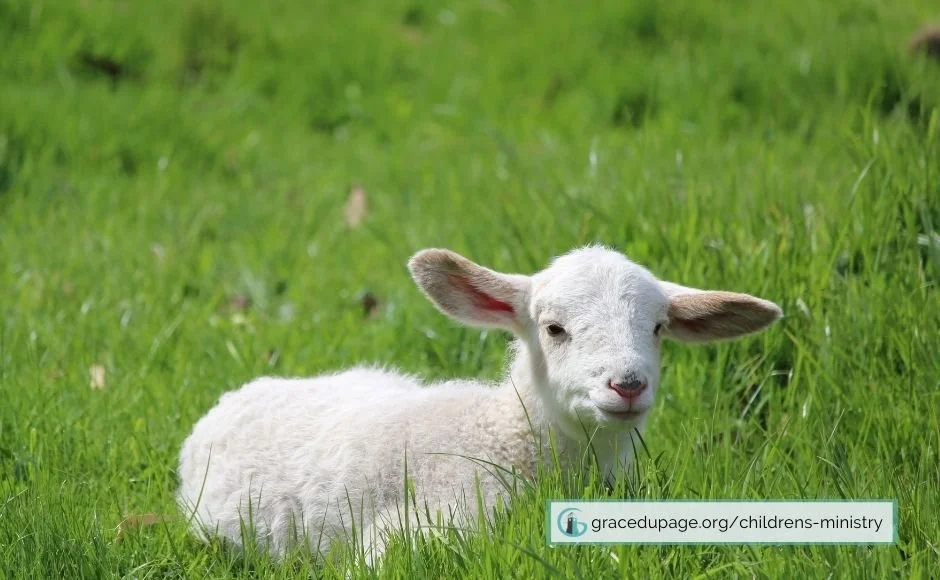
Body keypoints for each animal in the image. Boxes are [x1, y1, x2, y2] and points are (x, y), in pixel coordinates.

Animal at [176, 245, 783, 563]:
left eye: (658, 328)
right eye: (554, 328)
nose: (628, 385)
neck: (505, 438)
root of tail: (235, 396)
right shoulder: (420, 523)